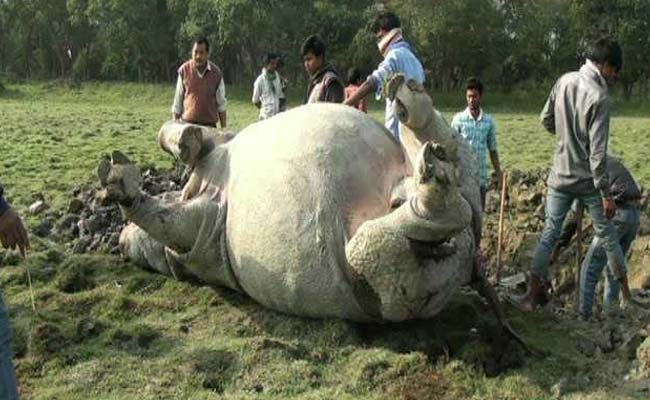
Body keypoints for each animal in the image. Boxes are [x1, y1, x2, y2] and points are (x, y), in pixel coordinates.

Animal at [98, 76, 517, 329]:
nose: (121, 240)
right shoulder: (200, 234)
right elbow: (170, 216)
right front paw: (122, 184)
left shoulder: (210, 180)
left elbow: (186, 139)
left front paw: (136, 171)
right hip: (407, 278)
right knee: (394, 246)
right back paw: (433, 182)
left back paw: (409, 102)